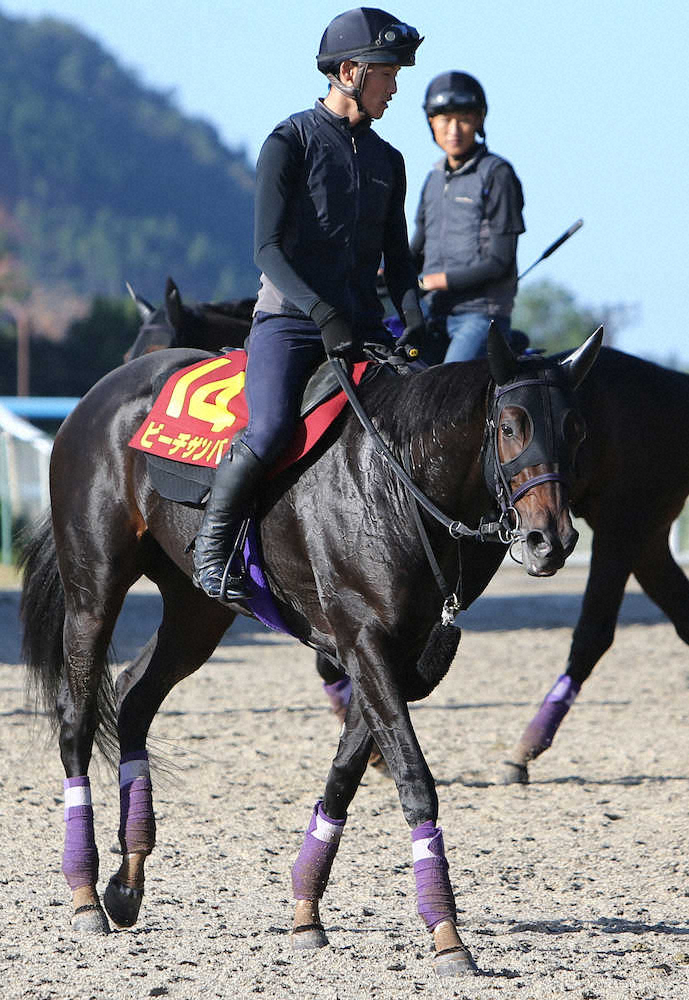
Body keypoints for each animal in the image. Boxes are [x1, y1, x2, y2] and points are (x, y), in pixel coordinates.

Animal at [19, 325, 600, 976]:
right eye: (510, 425)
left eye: (575, 428)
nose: (550, 541)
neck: (396, 477)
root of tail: (97, 397)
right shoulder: (365, 642)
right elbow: (413, 777)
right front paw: (448, 934)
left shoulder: (397, 656)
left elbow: (345, 773)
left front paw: (305, 911)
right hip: (94, 591)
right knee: (77, 720)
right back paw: (84, 894)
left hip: (197, 613)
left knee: (134, 699)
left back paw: (127, 879)